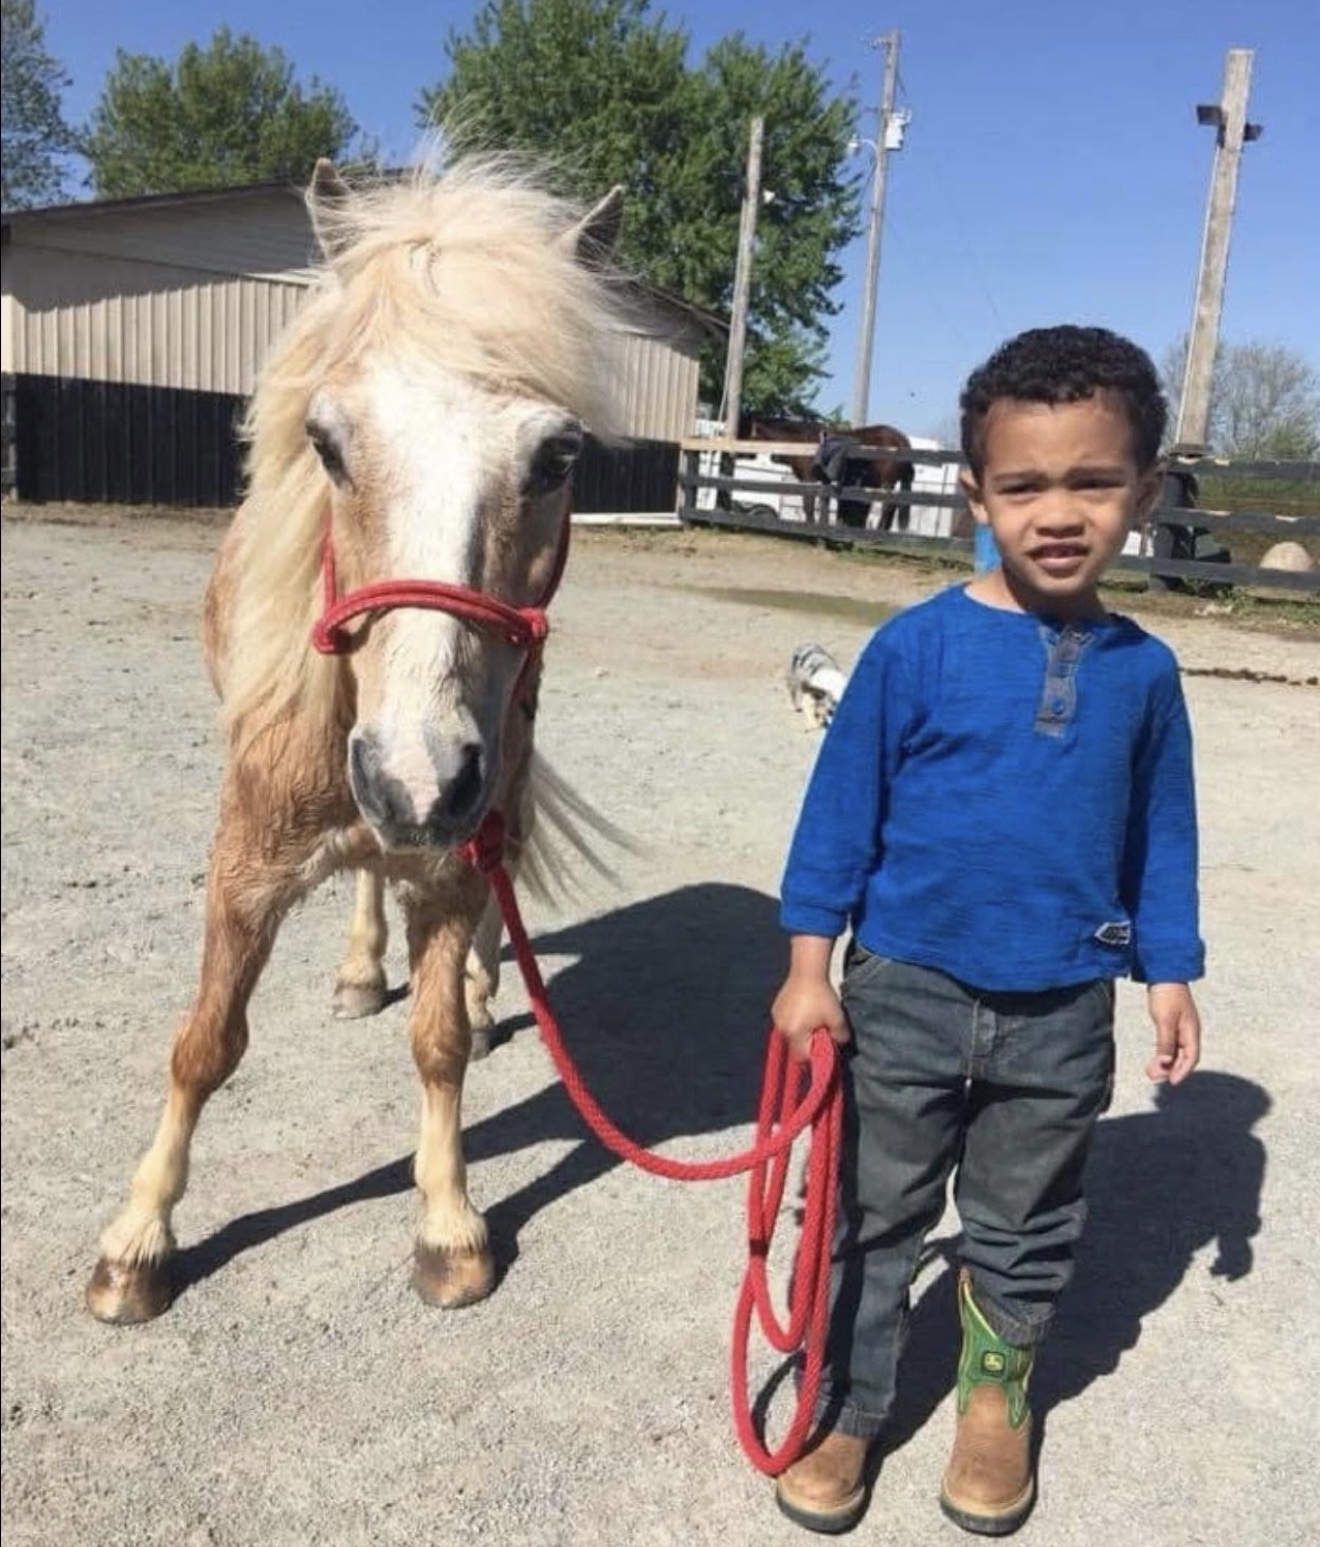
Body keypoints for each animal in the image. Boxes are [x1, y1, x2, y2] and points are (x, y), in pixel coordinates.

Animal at [85, 156, 630, 1325]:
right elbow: (204, 1043)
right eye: (327, 444)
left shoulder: (458, 847)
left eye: (558, 455)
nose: (416, 777)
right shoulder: (245, 865)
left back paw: (476, 987)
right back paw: (359, 967)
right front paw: (139, 1237)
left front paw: (448, 1223)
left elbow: (438, 1045)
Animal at [741, 415, 915, 531]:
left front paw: (810, 525)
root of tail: (902, 441)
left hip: (887, 482)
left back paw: (878, 530)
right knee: (893, 505)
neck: (803, 444)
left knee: (887, 506)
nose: (743, 453)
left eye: (750, 435)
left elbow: (808, 506)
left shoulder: (809, 480)